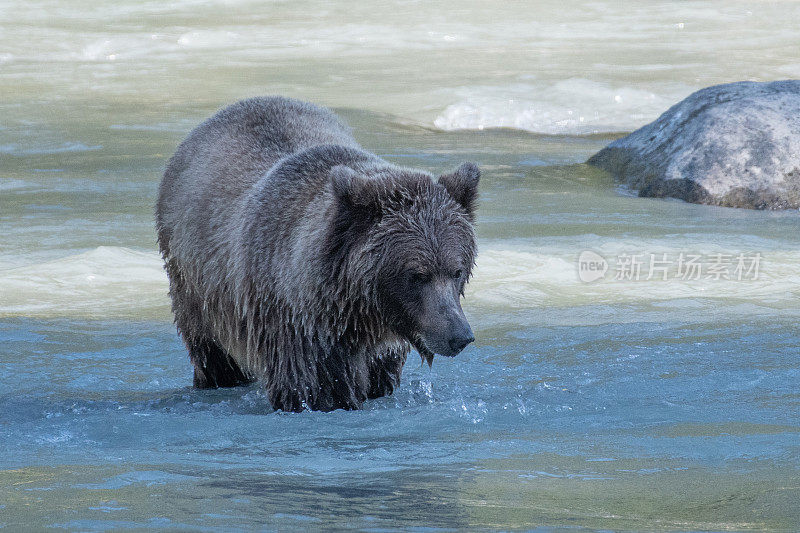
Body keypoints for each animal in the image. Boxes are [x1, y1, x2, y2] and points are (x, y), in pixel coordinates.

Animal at [157, 96, 482, 412]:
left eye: (456, 271)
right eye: (417, 275)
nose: (460, 336)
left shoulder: (380, 349)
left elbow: (381, 377)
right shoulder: (298, 331)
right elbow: (315, 388)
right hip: (197, 286)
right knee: (213, 353)